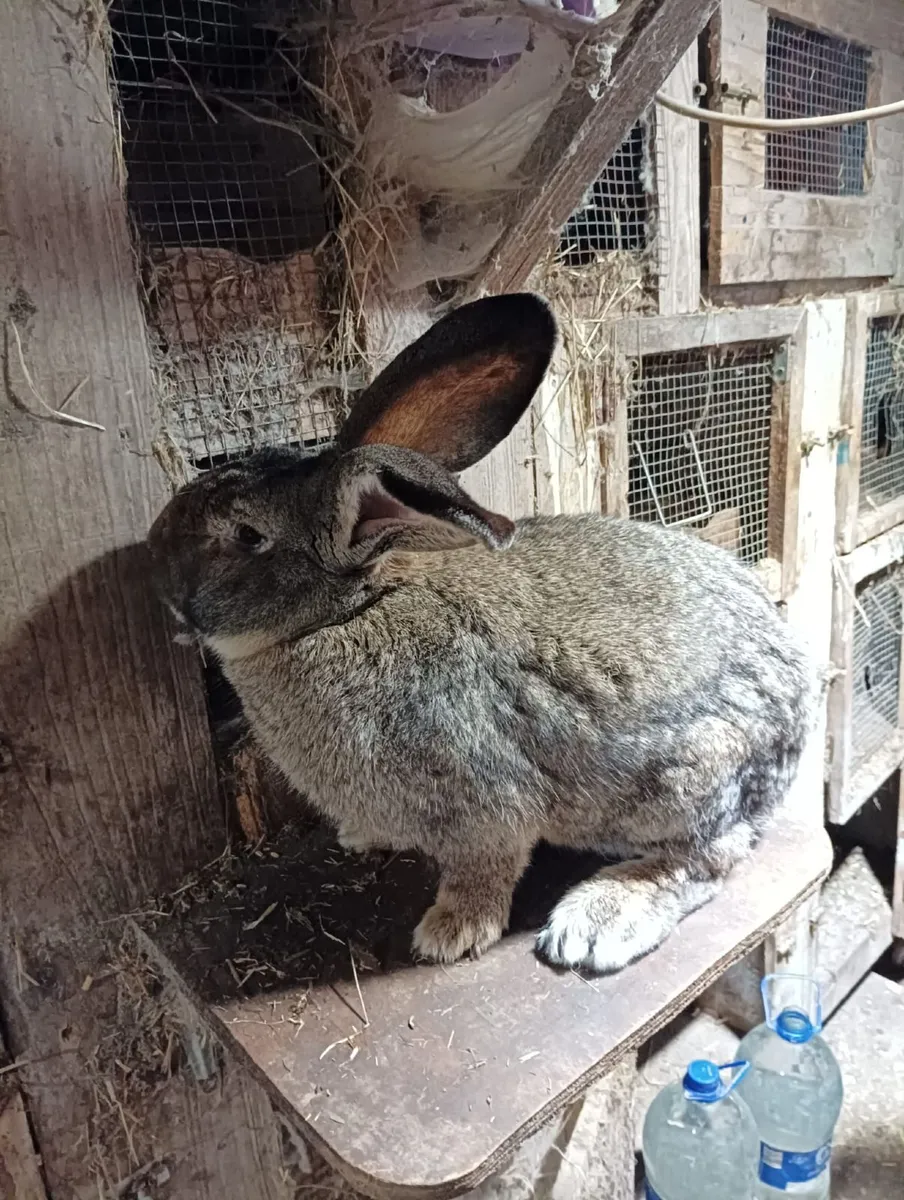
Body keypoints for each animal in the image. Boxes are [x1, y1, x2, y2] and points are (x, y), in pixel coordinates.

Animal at [147, 293, 816, 974]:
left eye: (246, 536)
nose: (152, 557)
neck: (352, 610)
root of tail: (797, 722)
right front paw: (361, 836)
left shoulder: (482, 806)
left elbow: (485, 867)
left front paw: (450, 932)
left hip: (686, 780)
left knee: (708, 857)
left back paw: (598, 922)